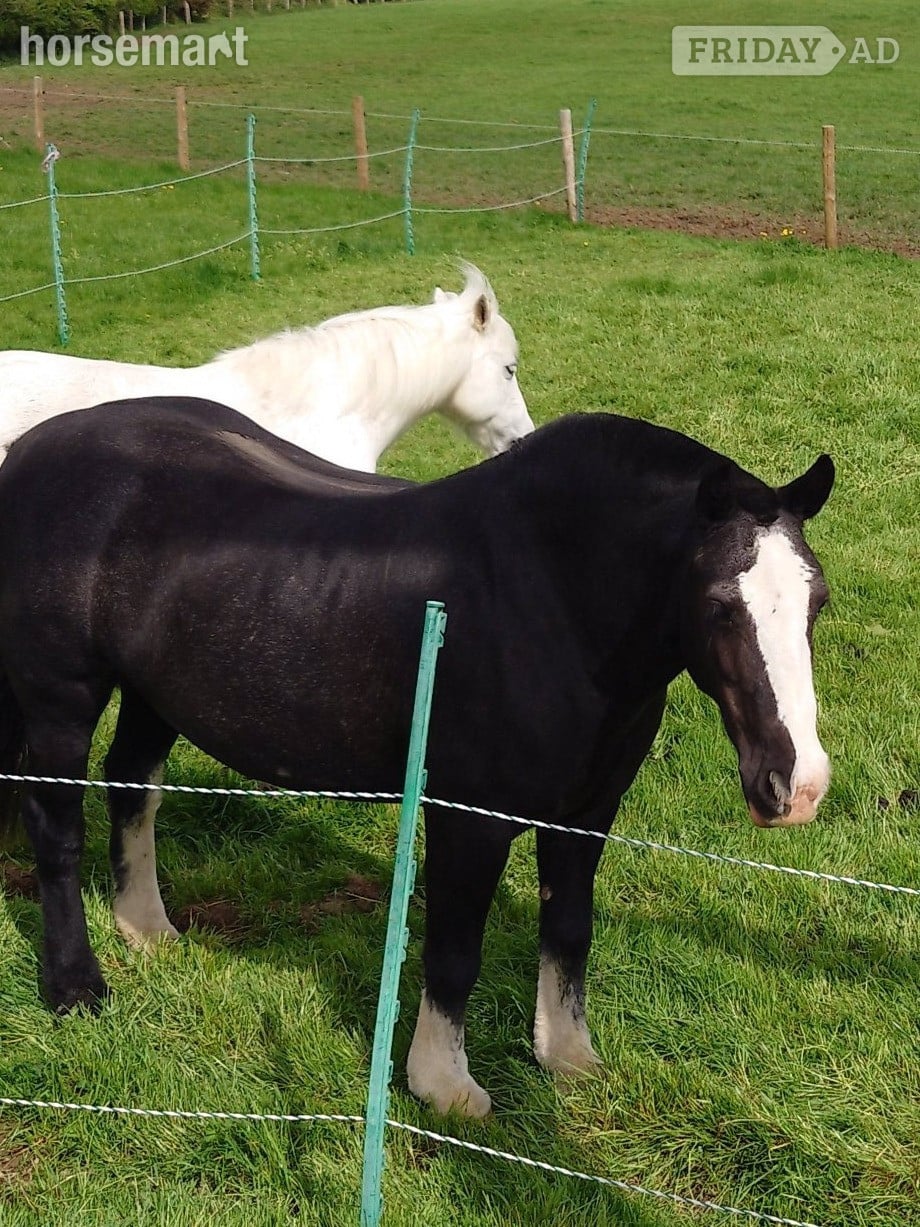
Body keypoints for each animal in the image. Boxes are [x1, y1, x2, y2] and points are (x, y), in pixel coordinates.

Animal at [0, 397, 834, 1118]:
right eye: (720, 605)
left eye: (817, 600)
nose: (796, 785)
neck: (548, 595)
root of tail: (28, 453)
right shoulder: (469, 819)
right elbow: (455, 950)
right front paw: (443, 1083)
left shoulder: (587, 813)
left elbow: (570, 929)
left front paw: (568, 1057)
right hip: (61, 700)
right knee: (57, 833)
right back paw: (75, 986)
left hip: (153, 693)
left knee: (133, 788)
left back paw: (147, 927)